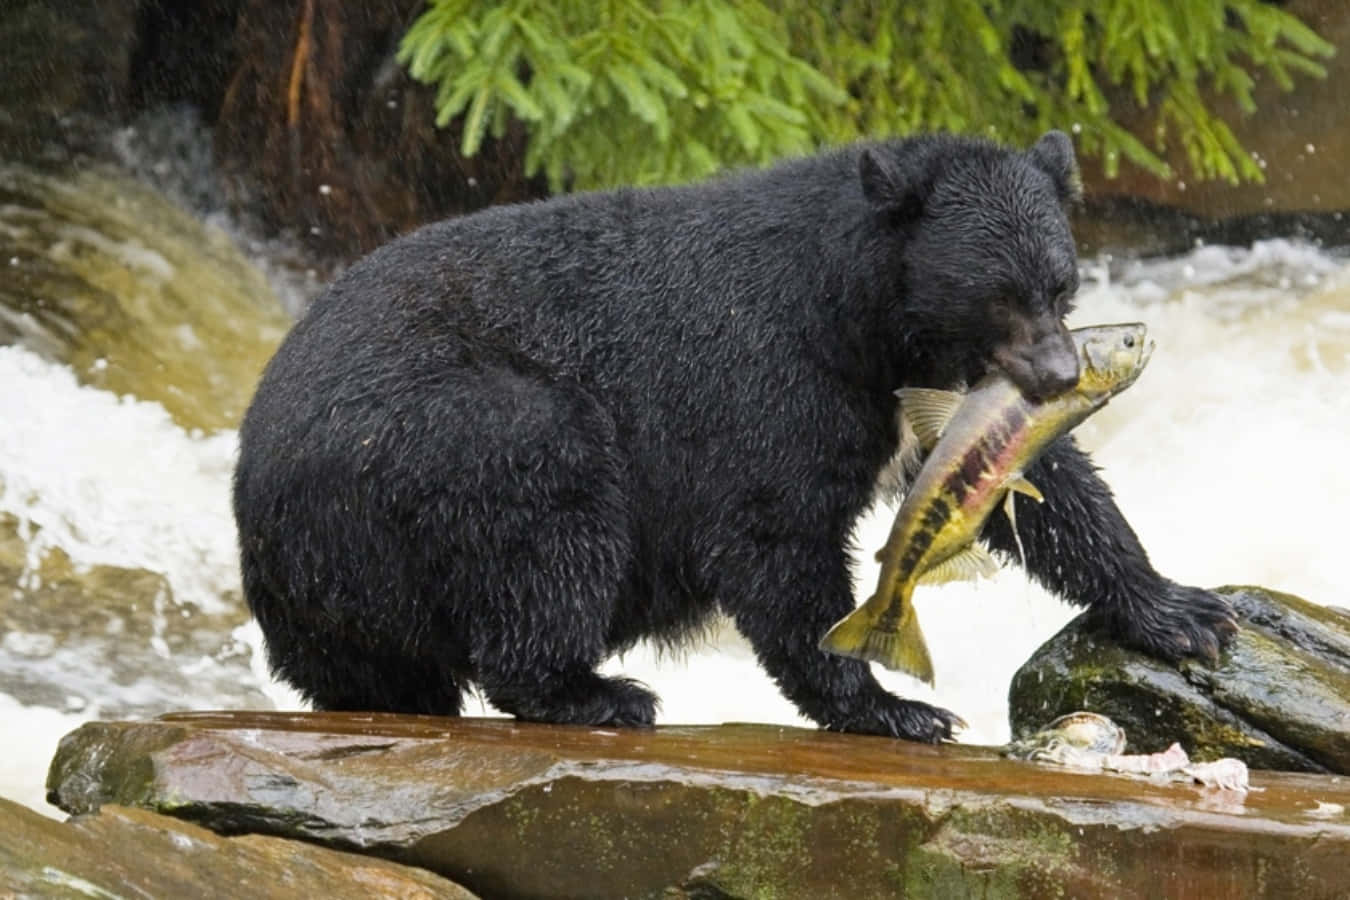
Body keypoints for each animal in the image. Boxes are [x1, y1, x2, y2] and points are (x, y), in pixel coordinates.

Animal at [233, 131, 1237, 743]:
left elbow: (1044, 482)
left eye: (1061, 285)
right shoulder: (765, 376)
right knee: (546, 510)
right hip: (443, 439)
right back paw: (594, 691)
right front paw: (891, 703)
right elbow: (772, 536)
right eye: (999, 293)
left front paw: (1183, 611)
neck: (865, 316)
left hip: (348, 591)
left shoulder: (947, 391)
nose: (1062, 376)